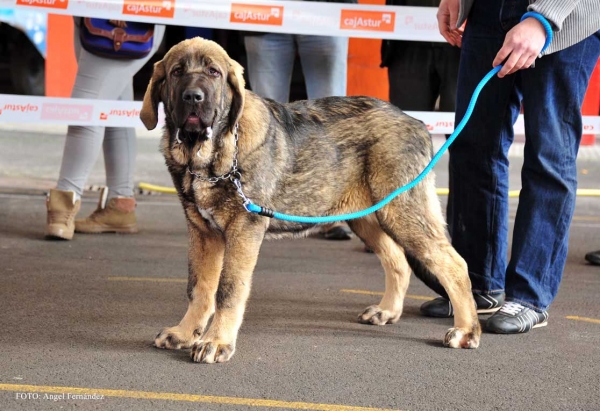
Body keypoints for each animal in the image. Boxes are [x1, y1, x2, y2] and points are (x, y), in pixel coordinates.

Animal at [138, 37, 480, 364]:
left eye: (214, 72)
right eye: (176, 72)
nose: (193, 97)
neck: (212, 155)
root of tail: (417, 123)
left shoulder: (244, 228)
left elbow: (228, 289)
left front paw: (216, 342)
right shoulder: (203, 231)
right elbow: (199, 287)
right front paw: (185, 333)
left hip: (403, 211)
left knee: (454, 264)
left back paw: (466, 330)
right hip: (368, 217)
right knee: (398, 261)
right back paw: (388, 311)